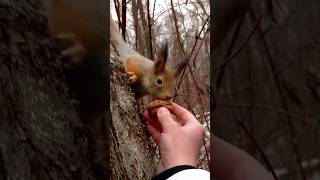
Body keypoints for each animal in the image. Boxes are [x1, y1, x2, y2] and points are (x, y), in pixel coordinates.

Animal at [43, 0, 186, 100]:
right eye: (159, 81)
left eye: (175, 84)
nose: (169, 97)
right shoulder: (135, 62)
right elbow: (129, 64)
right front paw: (132, 75)